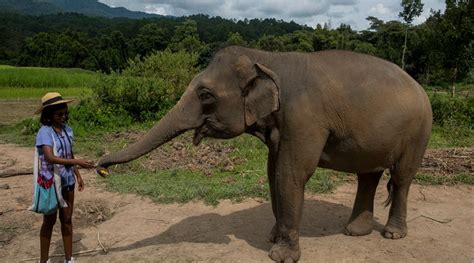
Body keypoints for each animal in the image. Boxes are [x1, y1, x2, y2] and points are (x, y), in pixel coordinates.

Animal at [97, 46, 434, 262]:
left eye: (205, 95)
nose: (100, 165)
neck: (266, 57)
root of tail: (421, 88)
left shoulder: (303, 117)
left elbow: (290, 174)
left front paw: (281, 256)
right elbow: (273, 173)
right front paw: (273, 238)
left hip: (419, 131)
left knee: (401, 179)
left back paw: (392, 235)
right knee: (369, 175)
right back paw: (355, 232)